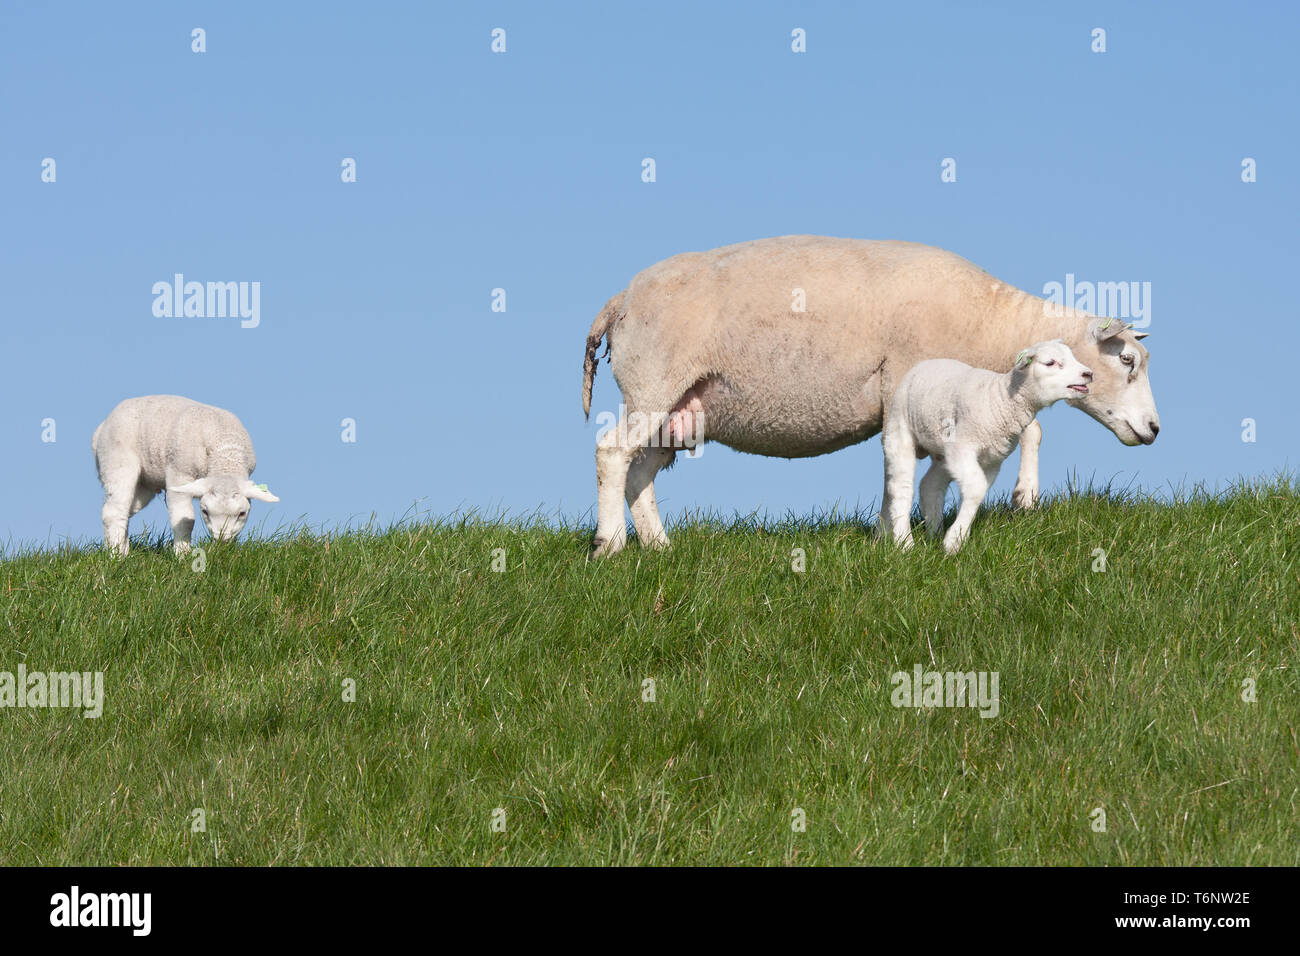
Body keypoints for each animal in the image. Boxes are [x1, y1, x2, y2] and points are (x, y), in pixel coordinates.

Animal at [91, 395, 279, 556]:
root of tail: (100, 429)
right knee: (113, 511)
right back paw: (116, 556)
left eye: (242, 513)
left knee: (121, 511)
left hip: (144, 485)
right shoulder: (179, 473)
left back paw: (119, 550)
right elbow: (184, 519)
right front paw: (183, 556)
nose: (222, 541)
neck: (225, 454)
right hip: (117, 461)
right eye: (205, 512)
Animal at [878, 343, 1092, 554]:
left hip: (943, 452)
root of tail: (923, 364)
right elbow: (976, 488)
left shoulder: (991, 459)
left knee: (929, 485)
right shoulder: (961, 446)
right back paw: (905, 543)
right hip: (899, 430)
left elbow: (978, 491)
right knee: (901, 487)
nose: (1088, 374)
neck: (1000, 400)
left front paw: (953, 540)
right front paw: (954, 541)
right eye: (1050, 362)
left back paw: (934, 534)